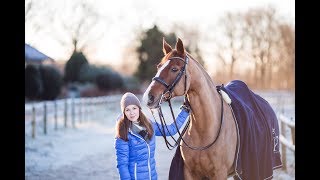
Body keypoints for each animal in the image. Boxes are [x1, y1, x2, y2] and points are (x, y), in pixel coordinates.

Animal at [142, 38, 238, 179]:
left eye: (174, 69)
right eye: (159, 66)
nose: (148, 97)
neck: (205, 130)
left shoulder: (220, 173)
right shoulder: (190, 172)